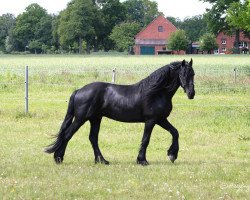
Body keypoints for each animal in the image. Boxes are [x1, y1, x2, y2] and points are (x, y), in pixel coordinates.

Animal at [45, 58, 195, 165]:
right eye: (183, 74)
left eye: (193, 74)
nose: (191, 94)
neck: (157, 92)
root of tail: (78, 90)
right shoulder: (151, 120)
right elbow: (146, 139)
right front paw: (142, 160)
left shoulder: (161, 119)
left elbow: (175, 132)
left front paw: (172, 155)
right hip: (81, 118)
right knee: (68, 134)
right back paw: (58, 158)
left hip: (95, 118)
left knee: (93, 138)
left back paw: (102, 160)